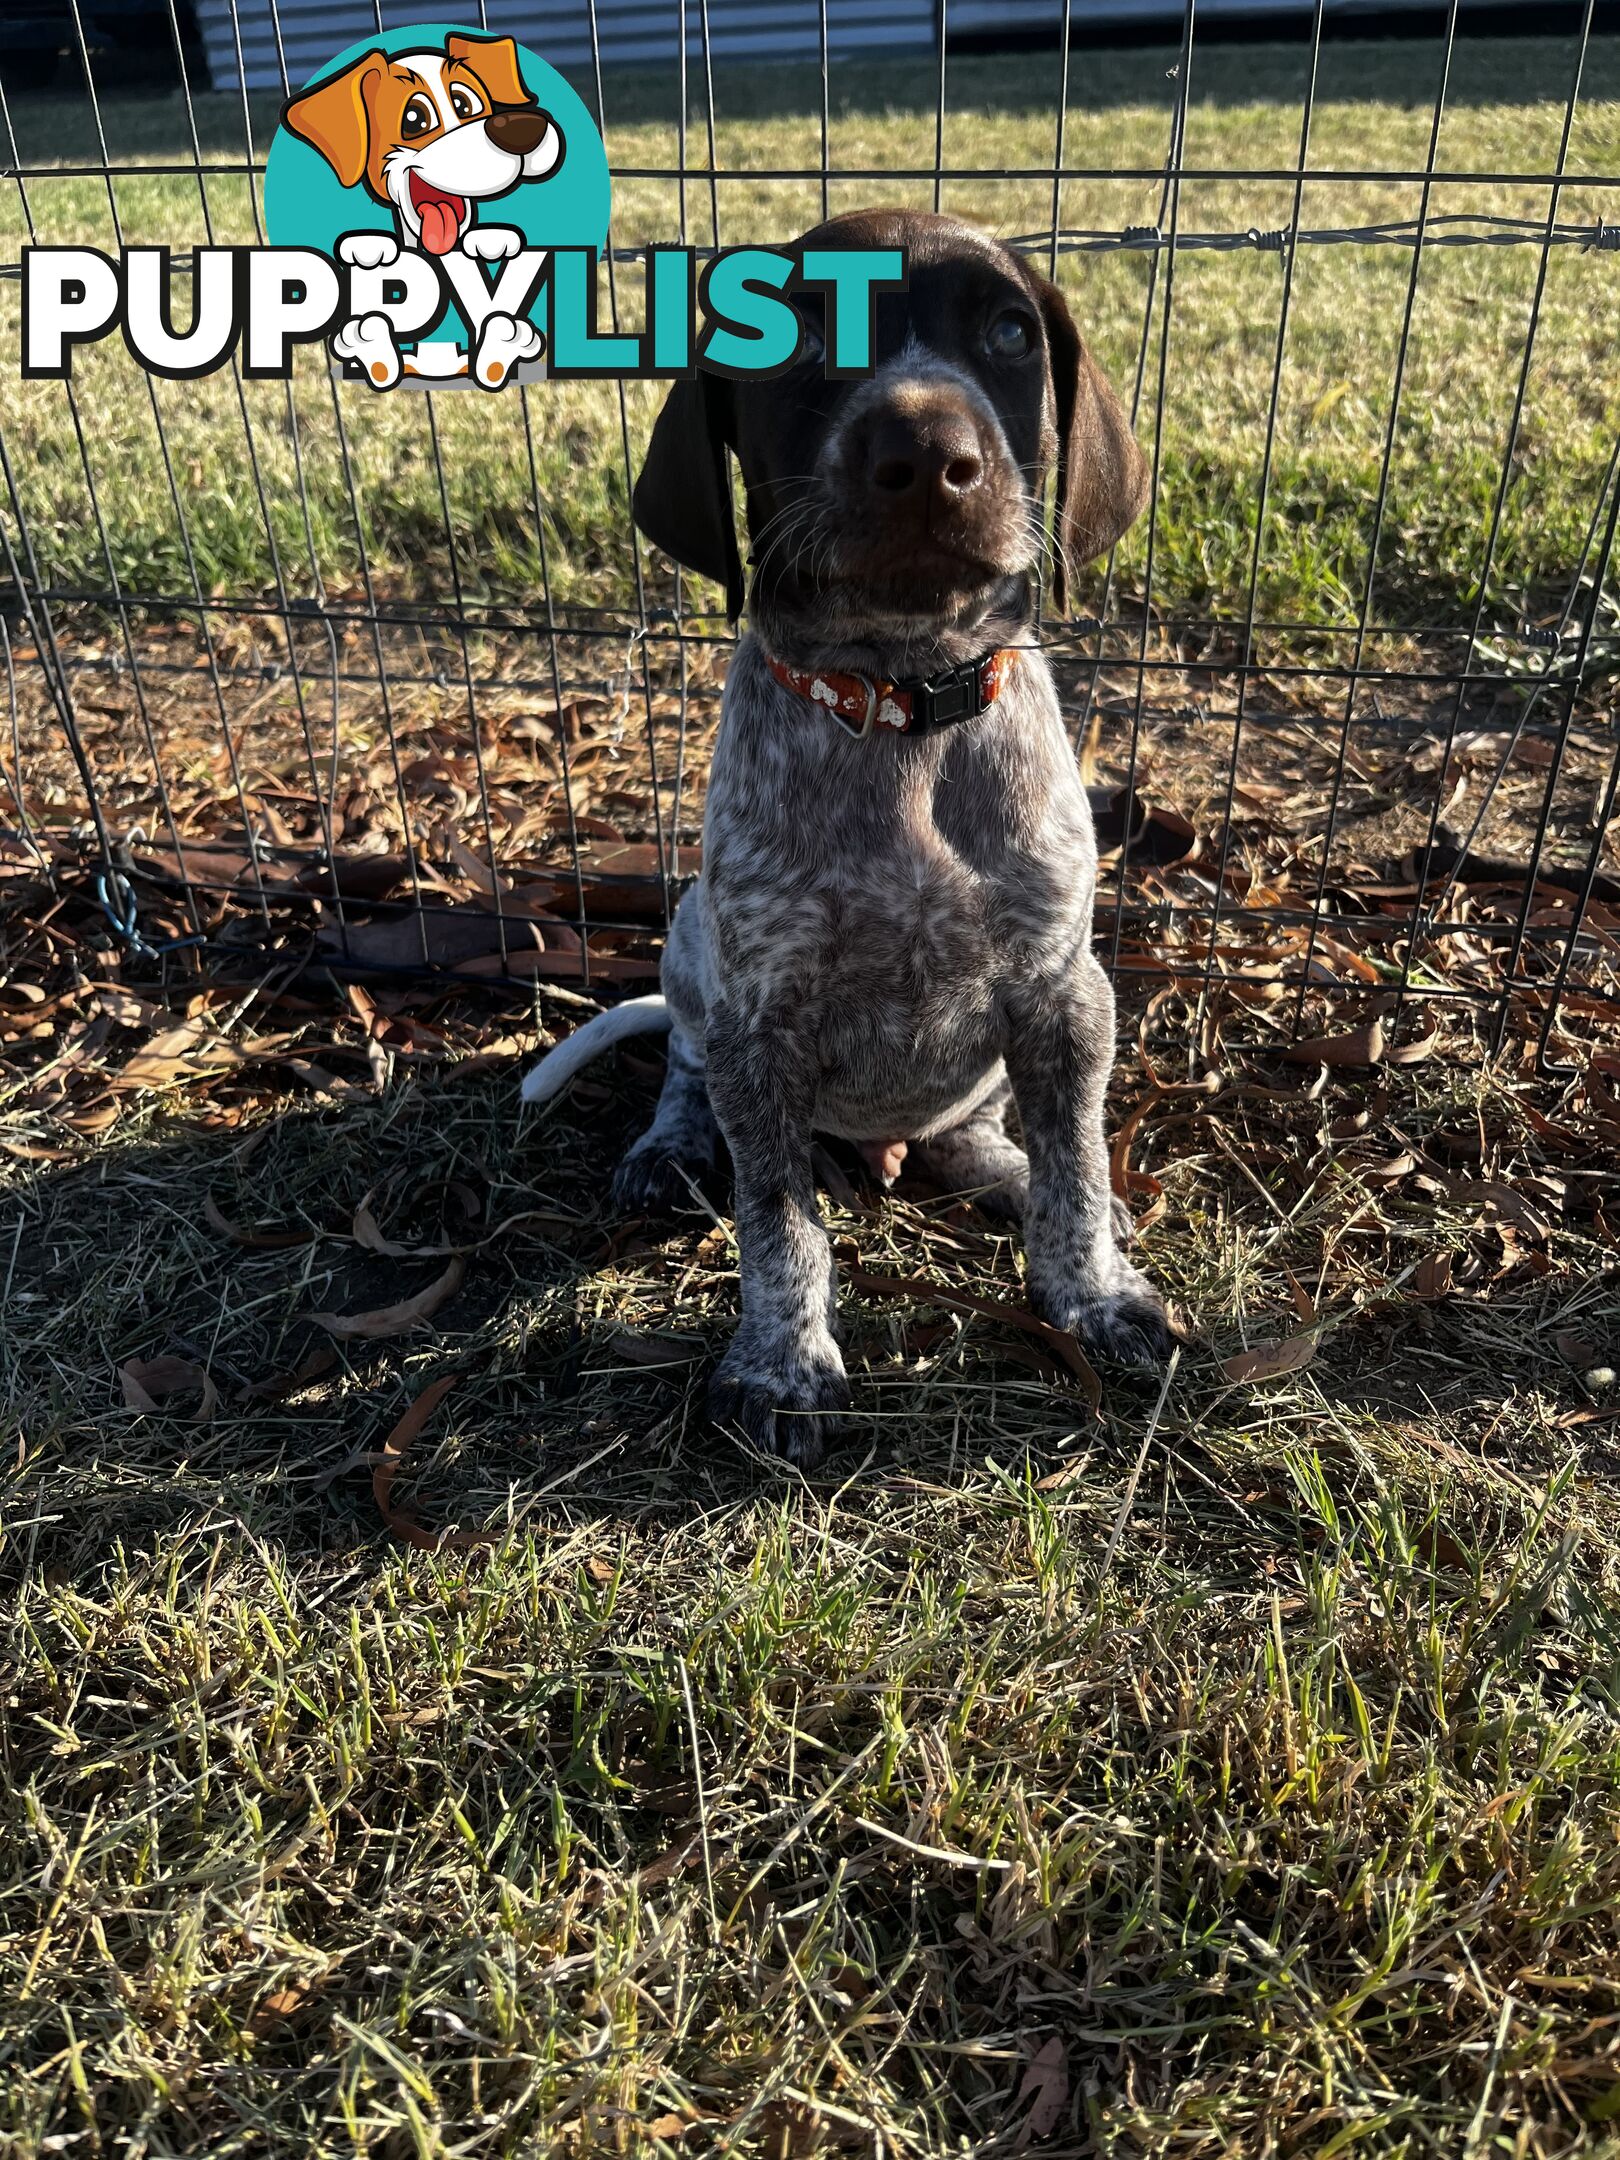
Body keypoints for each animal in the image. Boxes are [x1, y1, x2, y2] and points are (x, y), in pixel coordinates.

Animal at [527, 210, 1175, 1460]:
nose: (926, 455)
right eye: (798, 336)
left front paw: (1091, 1292)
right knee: (684, 1069)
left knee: (981, 1132)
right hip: (692, 947)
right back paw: (668, 1149)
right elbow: (777, 1221)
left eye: (1009, 333)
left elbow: (1075, 1164)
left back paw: (1004, 1169)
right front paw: (781, 1367)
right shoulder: (758, 1022)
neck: (901, 701)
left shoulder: (1065, 993)